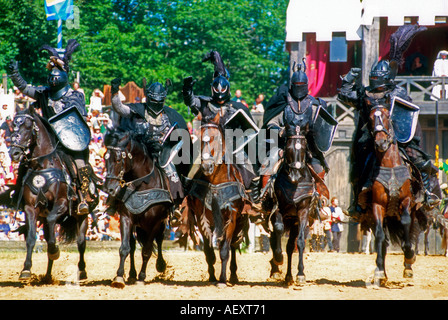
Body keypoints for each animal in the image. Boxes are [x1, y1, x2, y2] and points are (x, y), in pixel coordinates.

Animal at [103, 127, 173, 288]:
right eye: (105, 157)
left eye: (118, 159)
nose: (109, 188)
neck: (143, 185)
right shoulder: (126, 218)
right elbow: (125, 248)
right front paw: (119, 277)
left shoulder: (155, 222)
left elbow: (147, 250)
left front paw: (142, 277)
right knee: (133, 245)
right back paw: (131, 274)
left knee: (159, 240)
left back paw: (159, 265)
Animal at [184, 112, 250, 284]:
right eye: (199, 138)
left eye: (217, 138)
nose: (207, 166)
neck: (215, 181)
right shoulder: (201, 217)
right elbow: (208, 252)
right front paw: (213, 277)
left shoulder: (232, 216)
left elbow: (225, 249)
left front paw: (222, 279)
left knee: (233, 246)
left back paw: (232, 275)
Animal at [268, 122, 328, 284]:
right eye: (288, 147)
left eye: (304, 148)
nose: (295, 175)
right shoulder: (278, 209)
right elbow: (278, 229)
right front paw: (278, 258)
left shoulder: (303, 212)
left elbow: (300, 242)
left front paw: (301, 274)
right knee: (277, 239)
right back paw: (277, 269)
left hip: (294, 221)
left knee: (290, 246)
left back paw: (289, 276)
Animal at [356, 105, 428, 288]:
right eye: (370, 119)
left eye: (388, 116)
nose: (380, 143)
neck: (390, 165)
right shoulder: (377, 206)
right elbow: (380, 237)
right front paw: (380, 271)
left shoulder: (407, 202)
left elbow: (406, 226)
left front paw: (409, 256)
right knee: (384, 240)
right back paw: (381, 272)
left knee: (411, 231)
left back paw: (408, 264)